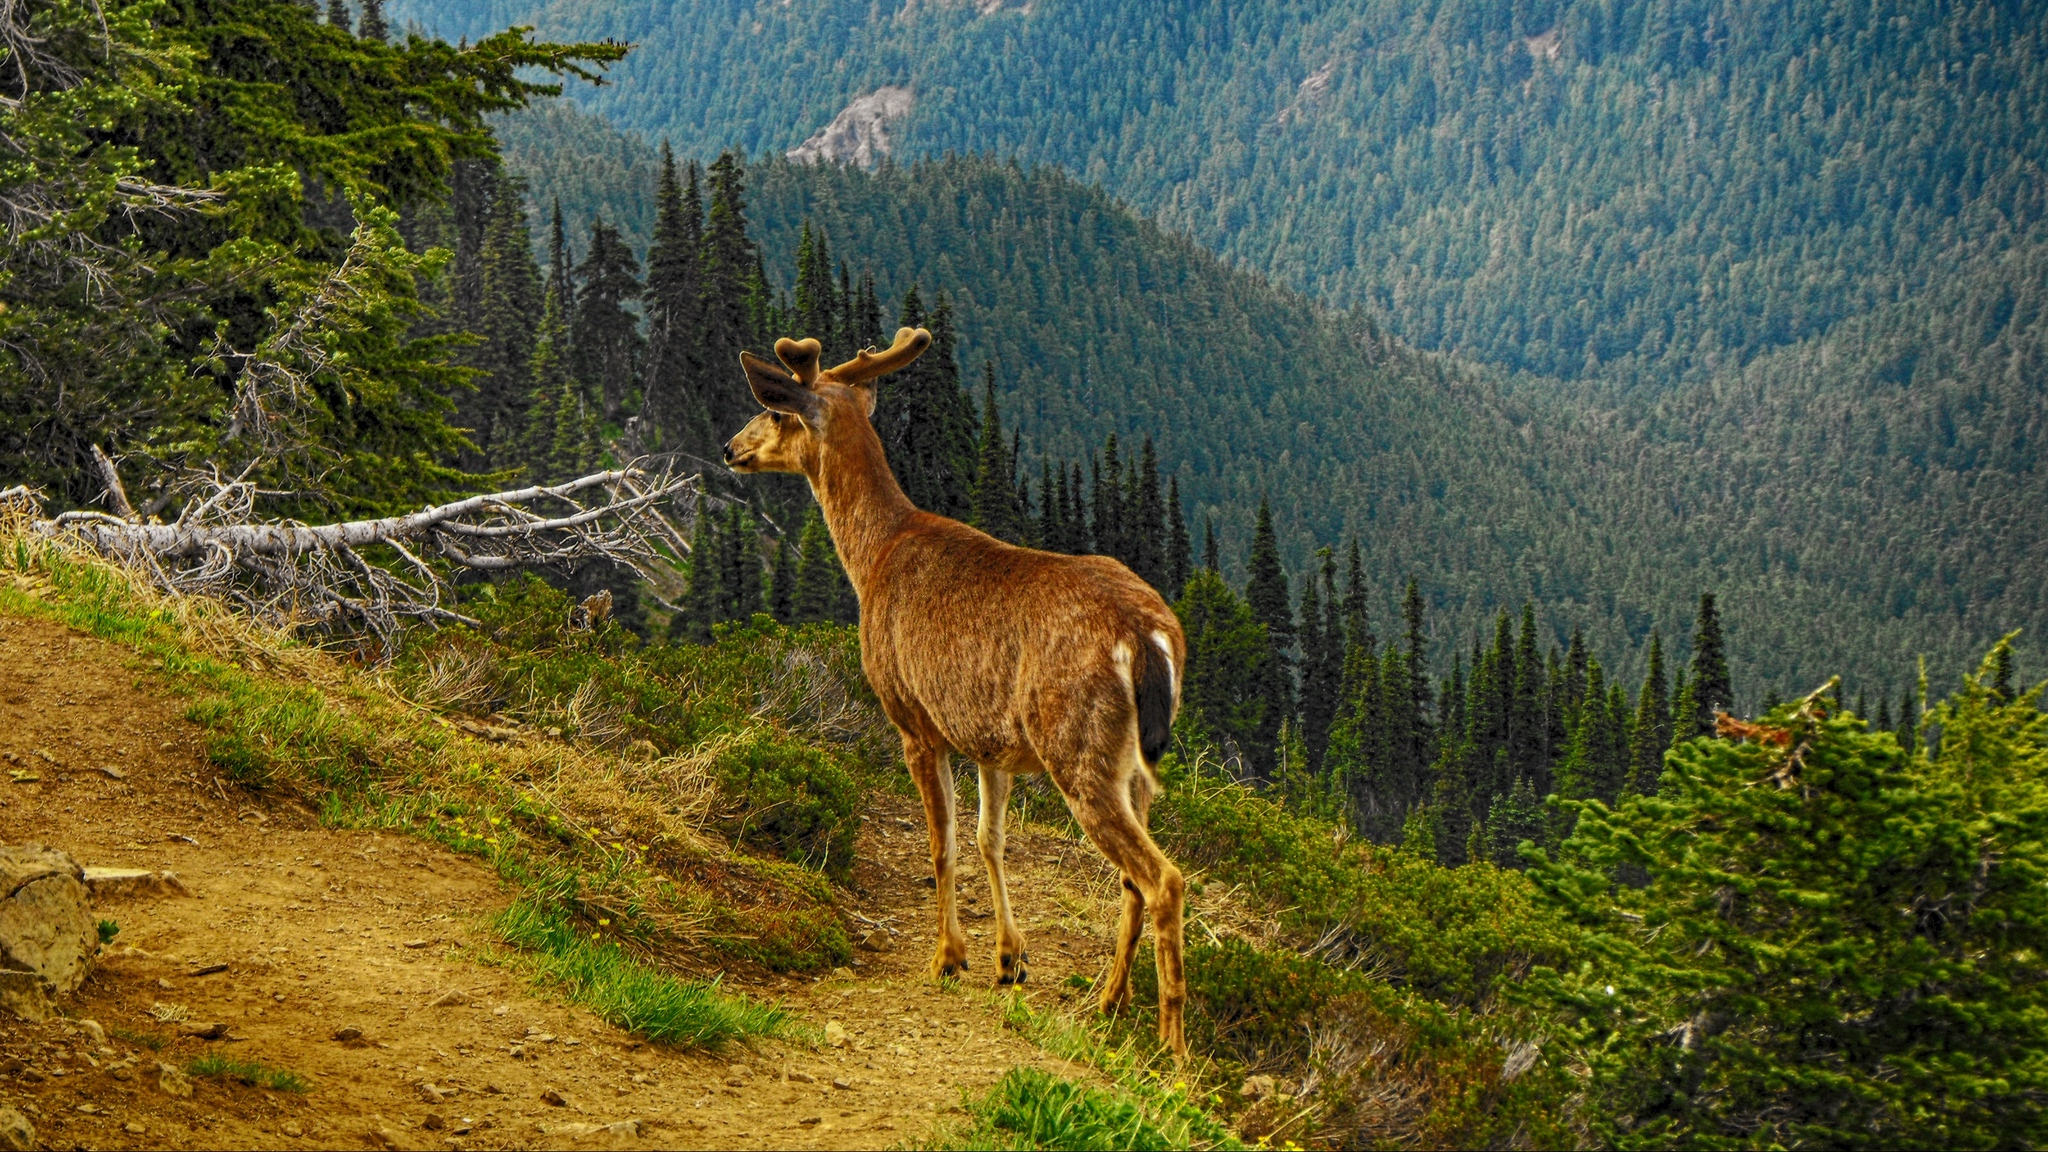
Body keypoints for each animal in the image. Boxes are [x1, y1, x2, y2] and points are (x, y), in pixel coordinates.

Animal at [724, 327, 1196, 1057]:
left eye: (773, 413)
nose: (731, 448)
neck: (874, 556)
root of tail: (1149, 635)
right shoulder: (988, 740)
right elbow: (988, 839)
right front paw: (1010, 959)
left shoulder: (913, 718)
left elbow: (942, 842)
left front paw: (948, 956)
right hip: (1131, 762)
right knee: (1132, 881)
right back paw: (1106, 1003)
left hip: (1076, 741)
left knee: (1163, 878)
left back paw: (1171, 1049)